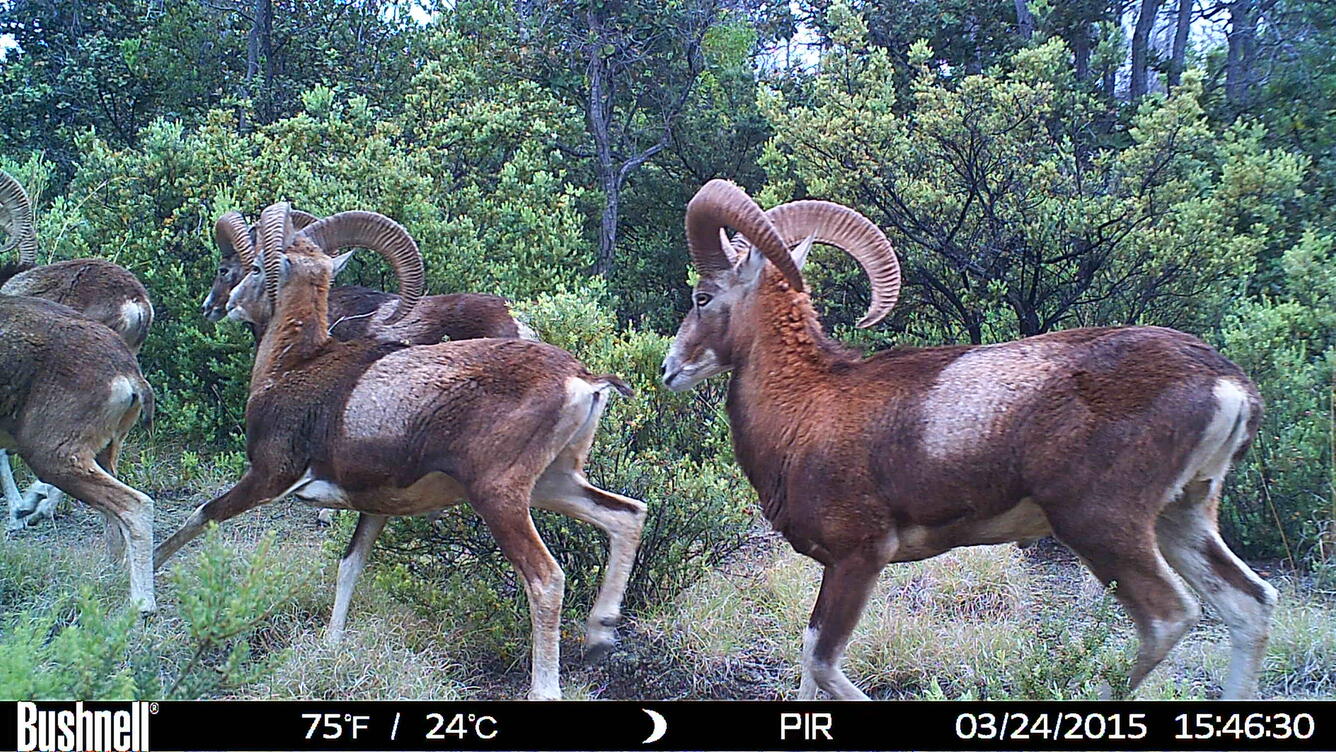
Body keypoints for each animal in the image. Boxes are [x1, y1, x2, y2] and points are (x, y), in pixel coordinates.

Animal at [660, 179, 1277, 700]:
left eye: (702, 297)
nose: (670, 369)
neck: (808, 406)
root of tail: (1226, 384)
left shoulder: (859, 558)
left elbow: (821, 662)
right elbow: (810, 668)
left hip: (1103, 527)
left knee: (1168, 619)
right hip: (1183, 515)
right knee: (1249, 604)